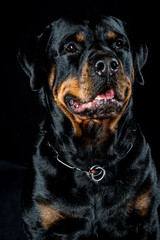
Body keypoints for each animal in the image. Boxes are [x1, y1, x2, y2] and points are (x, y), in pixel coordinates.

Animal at [17, 15, 160, 239]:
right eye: (71, 47)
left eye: (119, 44)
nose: (108, 64)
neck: (93, 162)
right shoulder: (38, 226)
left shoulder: (147, 221)